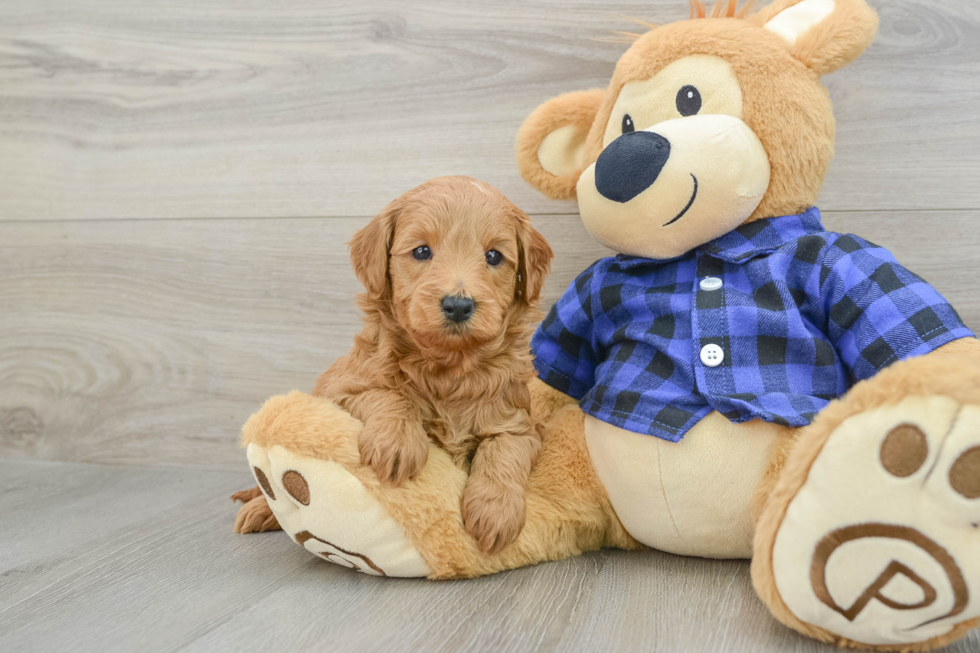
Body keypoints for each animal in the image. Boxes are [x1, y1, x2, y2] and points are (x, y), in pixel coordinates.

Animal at [230, 176, 552, 552]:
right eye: (422, 251)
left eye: (494, 256)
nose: (458, 305)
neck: (446, 368)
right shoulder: (339, 391)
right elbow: (389, 394)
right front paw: (398, 443)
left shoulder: (519, 423)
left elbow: (505, 451)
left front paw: (495, 513)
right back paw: (259, 508)